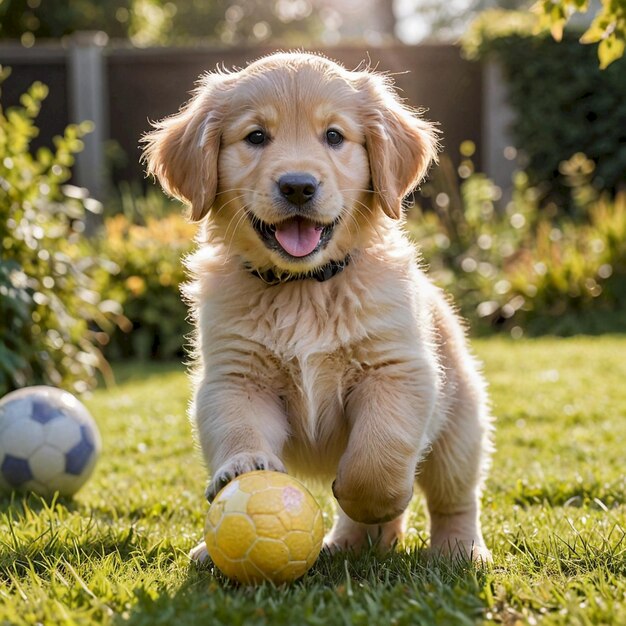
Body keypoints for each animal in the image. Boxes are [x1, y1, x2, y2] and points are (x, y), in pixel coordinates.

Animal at [143, 52, 492, 560]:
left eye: (334, 136)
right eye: (256, 137)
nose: (298, 187)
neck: (304, 287)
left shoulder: (396, 370)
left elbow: (377, 456)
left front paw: (372, 500)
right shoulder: (235, 377)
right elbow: (238, 426)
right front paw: (244, 465)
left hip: (460, 429)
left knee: (455, 497)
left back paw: (458, 550)